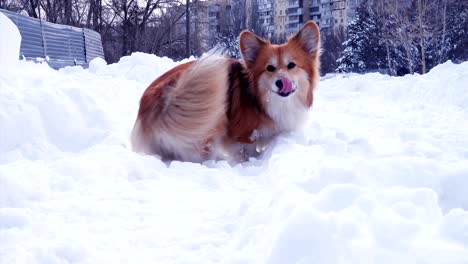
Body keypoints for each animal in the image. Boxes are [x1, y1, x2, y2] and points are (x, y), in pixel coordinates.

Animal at [132, 20, 322, 162]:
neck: (265, 101)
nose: (281, 82)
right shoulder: (241, 135)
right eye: (270, 68)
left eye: (291, 65)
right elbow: (245, 151)